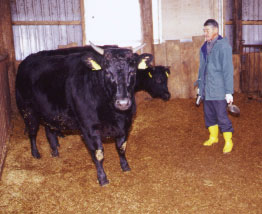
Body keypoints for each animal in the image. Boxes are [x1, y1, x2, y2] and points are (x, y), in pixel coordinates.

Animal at [15, 42, 152, 186]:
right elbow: (98, 154)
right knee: (32, 133)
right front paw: (102, 178)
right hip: (27, 111)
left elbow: (121, 147)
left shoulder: (125, 125)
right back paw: (35, 153)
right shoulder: (89, 129)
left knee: (49, 131)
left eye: (132, 72)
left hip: (50, 114)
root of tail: (27, 60)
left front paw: (125, 167)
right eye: (107, 72)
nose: (123, 103)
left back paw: (55, 151)